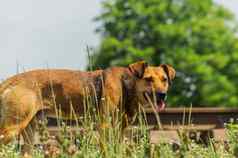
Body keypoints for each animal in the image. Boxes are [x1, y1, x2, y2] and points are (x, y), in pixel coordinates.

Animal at [0, 60, 175, 151]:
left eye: (164, 79)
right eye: (148, 79)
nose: (162, 94)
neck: (127, 85)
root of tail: (11, 80)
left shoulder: (119, 130)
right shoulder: (105, 127)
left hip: (29, 131)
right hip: (13, 128)